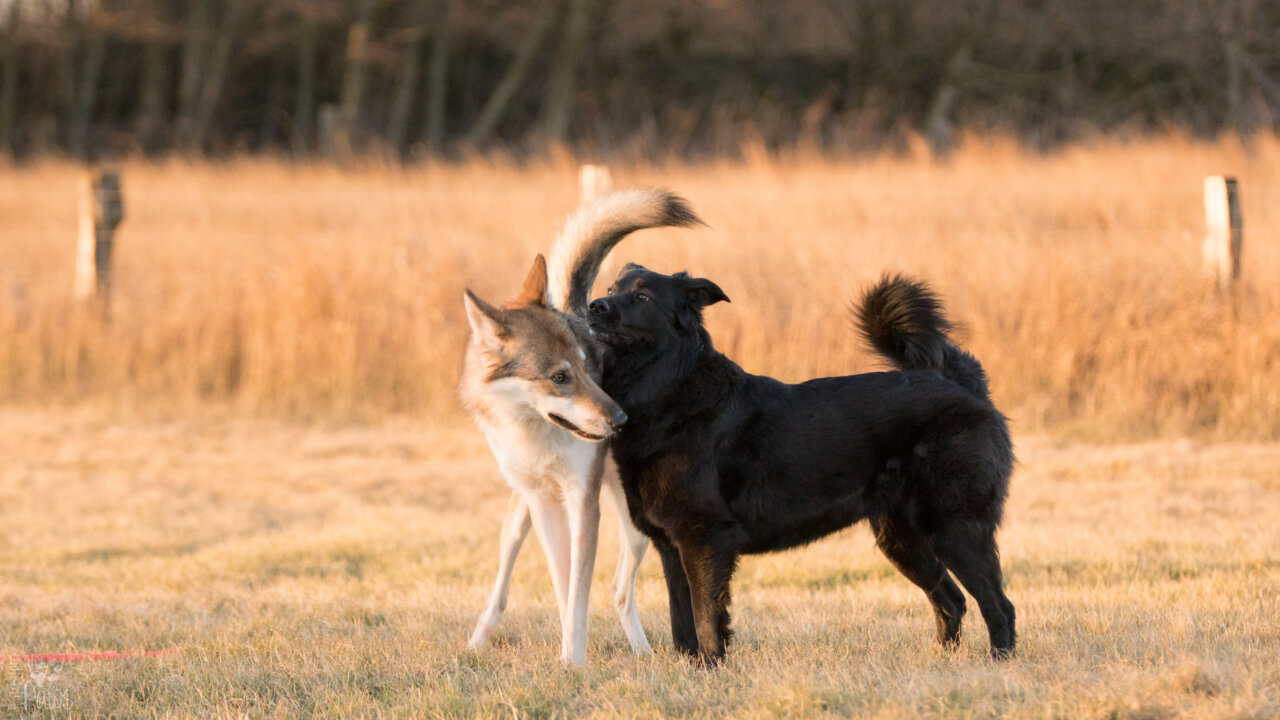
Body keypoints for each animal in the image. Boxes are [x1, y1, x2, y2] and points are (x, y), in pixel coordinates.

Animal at [458, 188, 701, 666]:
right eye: (559, 377)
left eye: (588, 365)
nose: (620, 421)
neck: (536, 433)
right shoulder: (546, 503)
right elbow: (564, 586)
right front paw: (571, 659)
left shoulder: (582, 503)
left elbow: (578, 593)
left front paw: (573, 660)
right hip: (522, 516)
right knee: (505, 578)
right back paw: (479, 638)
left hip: (634, 525)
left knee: (619, 590)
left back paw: (644, 653)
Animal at [586, 267, 1013, 661]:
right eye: (610, 289)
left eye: (642, 297)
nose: (594, 306)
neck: (672, 392)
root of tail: (961, 383)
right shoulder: (671, 548)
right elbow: (682, 622)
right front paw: (693, 672)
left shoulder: (703, 539)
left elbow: (706, 617)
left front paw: (712, 669)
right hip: (903, 538)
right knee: (952, 600)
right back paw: (942, 660)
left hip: (955, 527)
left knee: (998, 605)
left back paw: (998, 663)